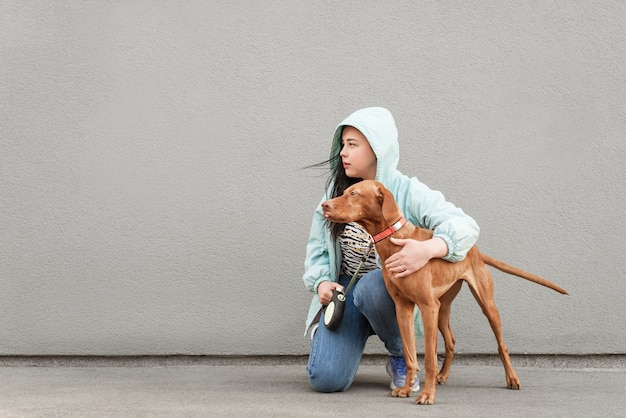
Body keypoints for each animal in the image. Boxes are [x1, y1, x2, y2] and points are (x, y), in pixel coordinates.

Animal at [322, 180, 564, 404]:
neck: (394, 241)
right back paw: (443, 375)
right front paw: (407, 389)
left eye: (354, 194)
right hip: (443, 307)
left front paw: (427, 395)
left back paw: (512, 379)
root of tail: (474, 250)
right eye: (343, 192)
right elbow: (410, 355)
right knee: (451, 341)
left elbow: (429, 359)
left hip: (484, 305)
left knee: (501, 345)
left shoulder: (427, 307)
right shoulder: (404, 308)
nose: (325, 205)